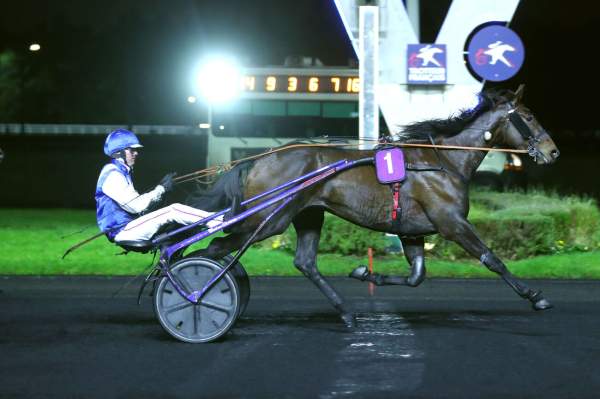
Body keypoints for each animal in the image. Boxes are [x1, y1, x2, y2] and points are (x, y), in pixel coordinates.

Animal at [186, 86, 556, 326]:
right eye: (528, 116)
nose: (553, 151)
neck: (443, 161)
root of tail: (259, 159)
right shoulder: (452, 223)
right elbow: (492, 259)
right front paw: (535, 295)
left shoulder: (412, 232)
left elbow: (416, 277)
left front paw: (365, 272)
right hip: (269, 218)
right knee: (216, 247)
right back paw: (194, 291)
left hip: (308, 214)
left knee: (304, 262)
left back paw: (346, 312)